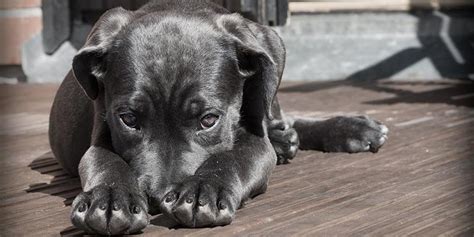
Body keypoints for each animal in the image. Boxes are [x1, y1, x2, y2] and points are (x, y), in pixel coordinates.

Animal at [49, 0, 388, 233]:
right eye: (129, 120)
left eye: (209, 120)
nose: (158, 197)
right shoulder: (100, 133)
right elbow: (105, 161)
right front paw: (109, 199)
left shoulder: (254, 140)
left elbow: (233, 157)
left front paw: (204, 189)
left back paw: (349, 129)